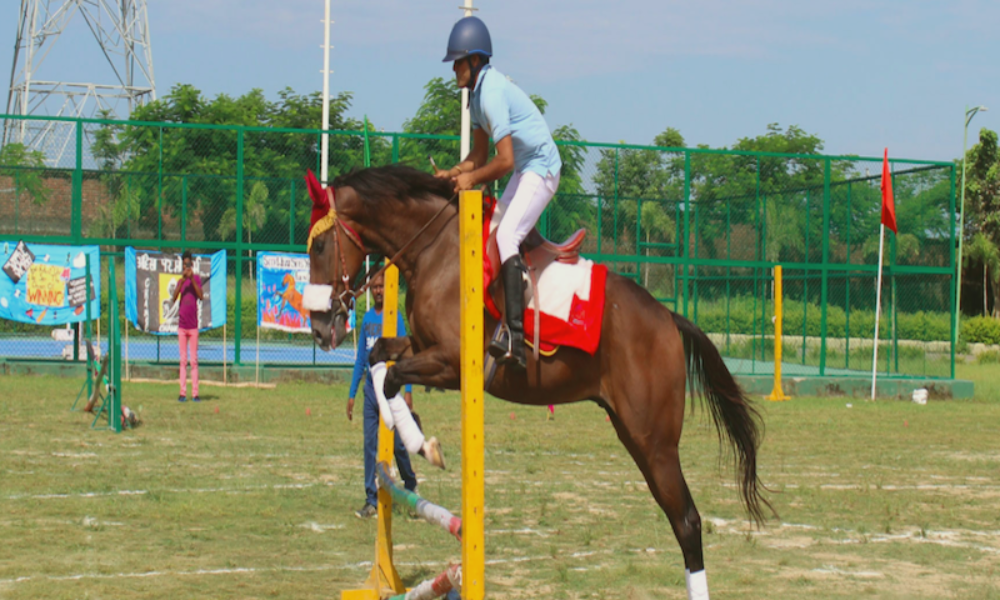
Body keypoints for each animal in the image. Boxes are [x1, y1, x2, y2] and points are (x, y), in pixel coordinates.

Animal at [308, 164, 768, 580]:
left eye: (318, 248)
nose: (320, 327)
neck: (435, 251)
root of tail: (668, 318)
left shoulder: (451, 363)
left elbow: (392, 377)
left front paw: (426, 446)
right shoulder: (421, 347)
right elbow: (378, 359)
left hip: (654, 440)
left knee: (687, 520)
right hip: (632, 433)